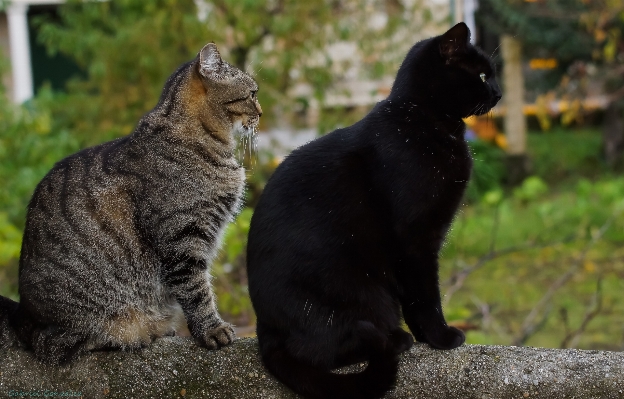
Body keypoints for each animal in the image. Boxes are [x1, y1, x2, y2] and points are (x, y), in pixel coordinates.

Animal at [0, 43, 260, 366]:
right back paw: (139, 332)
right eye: (253, 94)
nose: (261, 113)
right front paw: (212, 330)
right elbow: (197, 289)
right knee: (57, 344)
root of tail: (22, 315)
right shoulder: (183, 238)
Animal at [246, 22, 500, 399]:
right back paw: (394, 340)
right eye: (483, 74)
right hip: (362, 294)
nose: (499, 92)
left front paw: (429, 339)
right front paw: (440, 337)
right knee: (322, 351)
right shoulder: (415, 240)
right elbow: (424, 295)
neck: (424, 121)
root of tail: (264, 330)